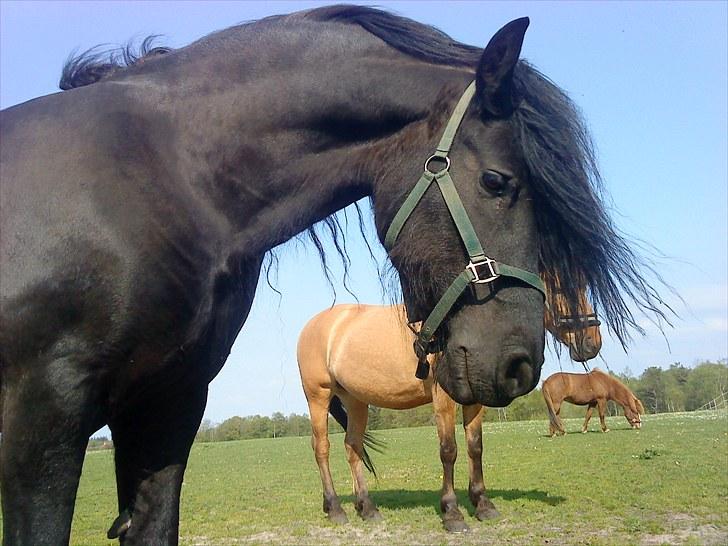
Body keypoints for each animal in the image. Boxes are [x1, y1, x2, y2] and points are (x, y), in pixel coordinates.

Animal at [298, 284, 604, 532]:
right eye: (565, 289)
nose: (593, 341)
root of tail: (314, 325)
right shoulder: (443, 397)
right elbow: (449, 451)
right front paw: (452, 512)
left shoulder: (475, 399)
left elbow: (475, 447)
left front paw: (483, 504)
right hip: (318, 397)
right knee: (322, 449)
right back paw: (335, 508)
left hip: (355, 400)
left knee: (353, 448)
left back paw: (367, 508)